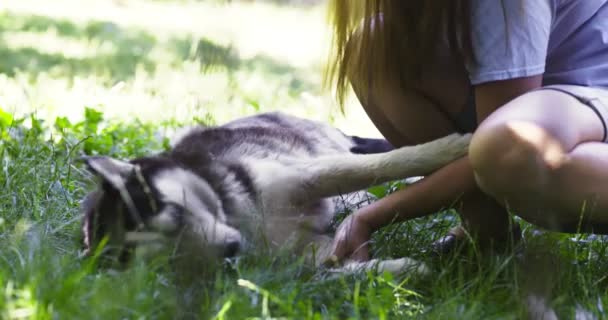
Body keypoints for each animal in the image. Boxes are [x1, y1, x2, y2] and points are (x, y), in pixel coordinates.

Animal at [81, 112, 470, 276]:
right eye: (170, 257)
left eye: (176, 213)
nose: (231, 248)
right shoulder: (305, 252)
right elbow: (340, 271)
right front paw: (401, 268)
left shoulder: (304, 175)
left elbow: (378, 166)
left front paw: (451, 150)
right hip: (350, 198)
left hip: (328, 146)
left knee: (369, 156)